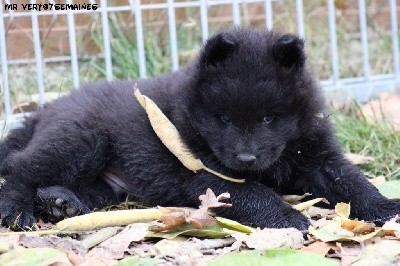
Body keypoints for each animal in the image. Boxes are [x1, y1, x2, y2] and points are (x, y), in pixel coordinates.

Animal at [0, 28, 400, 230]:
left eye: (269, 118)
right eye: (224, 118)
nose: (246, 157)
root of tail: (48, 109)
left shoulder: (316, 154)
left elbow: (351, 181)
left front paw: (385, 206)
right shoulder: (207, 173)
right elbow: (254, 192)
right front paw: (288, 217)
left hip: (101, 178)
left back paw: (61, 204)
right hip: (81, 141)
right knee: (21, 169)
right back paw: (17, 210)